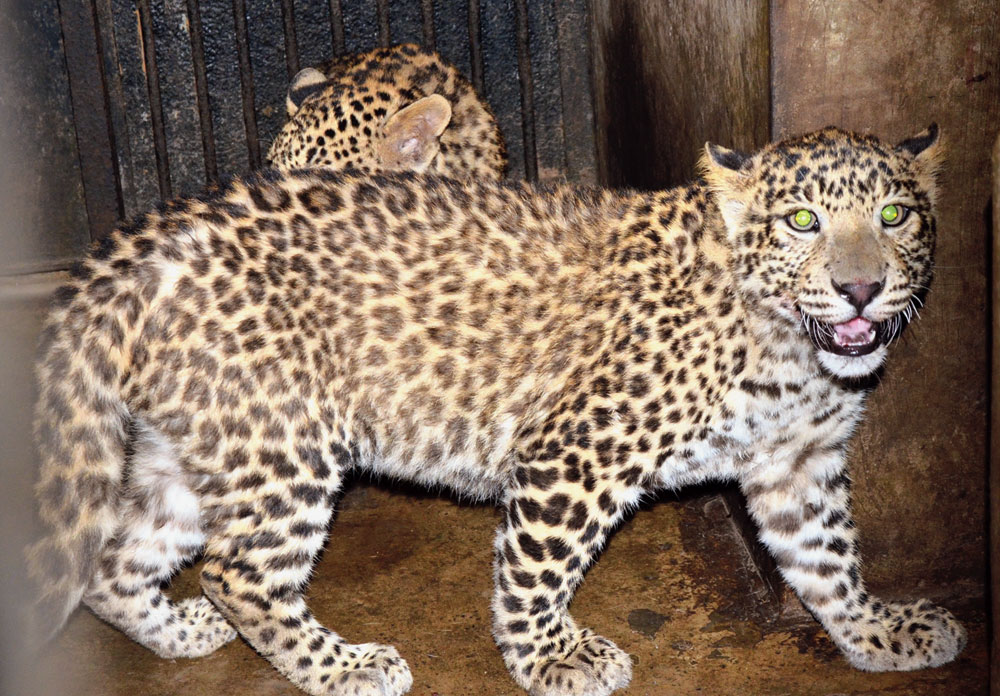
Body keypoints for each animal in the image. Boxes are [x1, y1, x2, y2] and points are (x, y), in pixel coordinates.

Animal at [26, 124, 965, 696]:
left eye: (894, 215)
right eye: (802, 221)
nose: (860, 287)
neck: (792, 352)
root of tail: (135, 246)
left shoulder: (795, 468)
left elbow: (829, 561)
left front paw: (880, 632)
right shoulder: (575, 453)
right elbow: (538, 570)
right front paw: (551, 658)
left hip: (198, 450)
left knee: (119, 559)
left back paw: (180, 634)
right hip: (282, 446)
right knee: (239, 575)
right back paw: (346, 667)